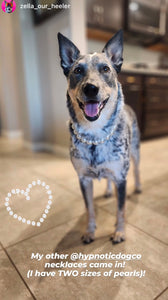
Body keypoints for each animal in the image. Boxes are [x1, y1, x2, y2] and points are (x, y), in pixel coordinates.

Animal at [57, 30, 141, 245]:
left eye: (105, 68)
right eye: (78, 70)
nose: (90, 88)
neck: (95, 135)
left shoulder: (121, 177)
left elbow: (121, 209)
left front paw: (119, 232)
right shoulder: (84, 179)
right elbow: (90, 209)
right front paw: (90, 231)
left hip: (135, 152)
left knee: (136, 170)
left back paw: (138, 187)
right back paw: (108, 191)